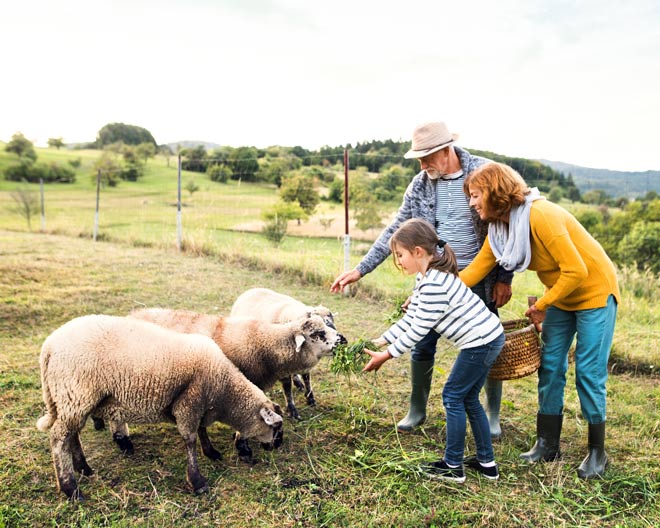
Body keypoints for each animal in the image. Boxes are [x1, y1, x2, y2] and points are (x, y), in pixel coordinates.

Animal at [36, 316, 284, 502]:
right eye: (276, 427)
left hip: (72, 399)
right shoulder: (189, 403)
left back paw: (83, 468)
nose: (277, 446)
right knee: (59, 438)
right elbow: (190, 439)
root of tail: (48, 346)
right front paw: (197, 481)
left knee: (72, 435)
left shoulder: (199, 404)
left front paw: (211, 452)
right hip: (77, 393)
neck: (225, 390)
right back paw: (70, 488)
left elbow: (202, 430)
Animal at [231, 286, 346, 418]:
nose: (342, 340)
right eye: (320, 328)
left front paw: (310, 398)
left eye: (332, 322)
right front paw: (292, 410)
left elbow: (307, 378)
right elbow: (287, 387)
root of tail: (252, 289)